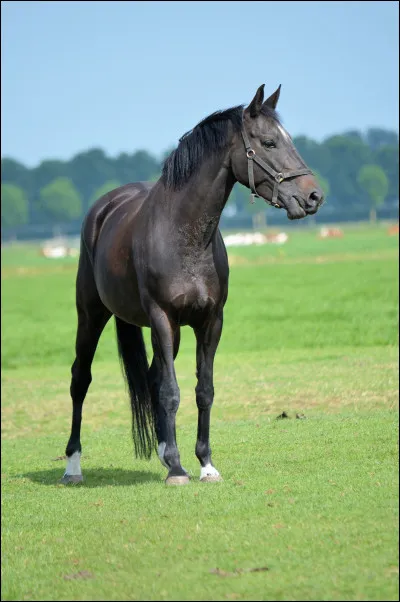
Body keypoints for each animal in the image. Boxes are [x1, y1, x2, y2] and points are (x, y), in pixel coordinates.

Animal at [62, 85, 324, 482]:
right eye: (269, 142)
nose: (313, 196)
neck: (185, 236)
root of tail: (104, 208)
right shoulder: (162, 318)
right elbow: (172, 391)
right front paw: (177, 470)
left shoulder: (210, 321)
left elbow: (204, 390)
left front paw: (204, 464)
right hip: (92, 314)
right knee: (82, 379)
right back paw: (74, 465)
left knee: (151, 378)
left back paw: (163, 450)